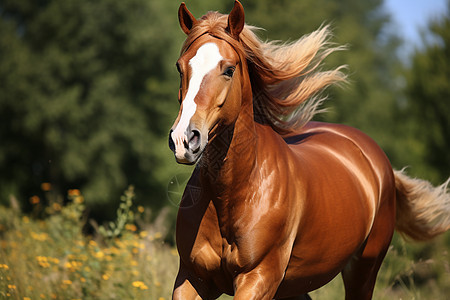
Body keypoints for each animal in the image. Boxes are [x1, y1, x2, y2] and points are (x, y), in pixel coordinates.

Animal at [168, 1, 450, 298]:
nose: (184, 139)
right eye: (180, 67)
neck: (233, 193)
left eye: (229, 69)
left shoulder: (259, 278)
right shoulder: (192, 277)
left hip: (363, 271)